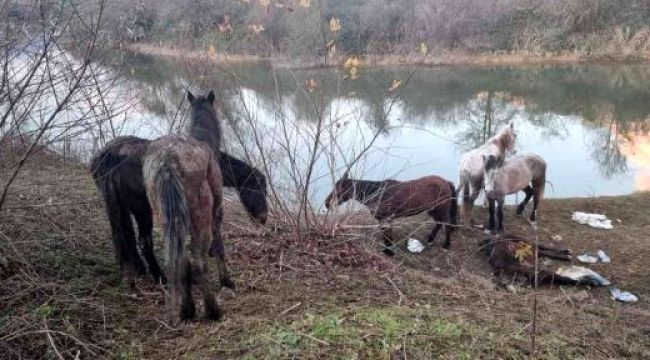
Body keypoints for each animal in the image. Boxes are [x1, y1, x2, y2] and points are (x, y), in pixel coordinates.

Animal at [142, 135, 223, 320]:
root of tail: (169, 160)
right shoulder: (217, 209)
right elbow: (219, 244)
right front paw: (227, 282)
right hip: (201, 216)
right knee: (200, 263)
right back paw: (212, 311)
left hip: (163, 220)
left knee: (183, 264)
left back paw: (187, 310)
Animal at [324, 172, 456, 256]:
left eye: (341, 189)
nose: (327, 203)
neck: (378, 193)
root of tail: (445, 182)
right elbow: (386, 234)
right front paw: (388, 249)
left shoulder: (387, 219)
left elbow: (387, 234)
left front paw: (389, 251)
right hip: (433, 210)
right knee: (439, 223)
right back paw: (430, 239)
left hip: (441, 209)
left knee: (447, 224)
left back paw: (446, 245)